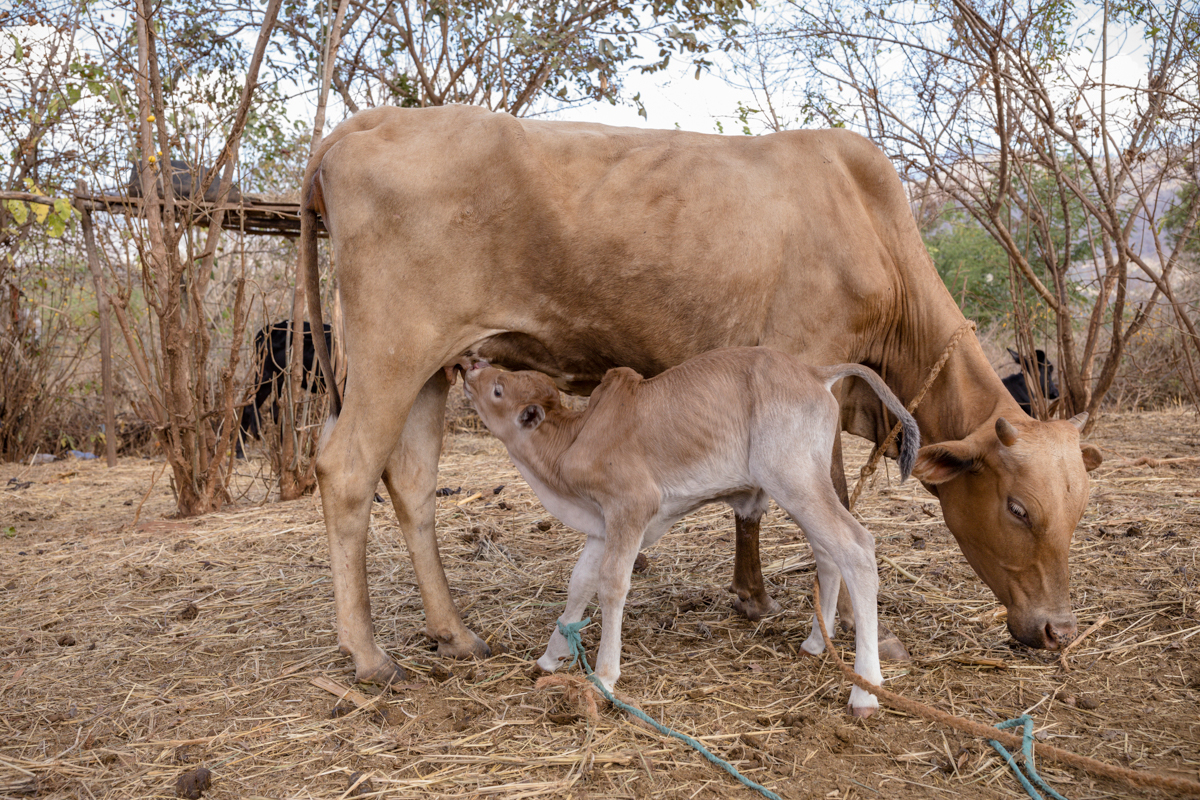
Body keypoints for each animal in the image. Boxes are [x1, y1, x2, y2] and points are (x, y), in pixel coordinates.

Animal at [463, 347, 921, 714]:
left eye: (498, 389)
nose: (471, 367)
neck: (571, 443)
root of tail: (812, 371)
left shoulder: (632, 507)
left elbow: (612, 585)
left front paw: (606, 675)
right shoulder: (602, 525)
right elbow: (580, 584)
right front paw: (550, 657)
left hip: (793, 480)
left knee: (856, 547)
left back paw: (865, 692)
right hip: (805, 485)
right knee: (828, 553)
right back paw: (814, 644)